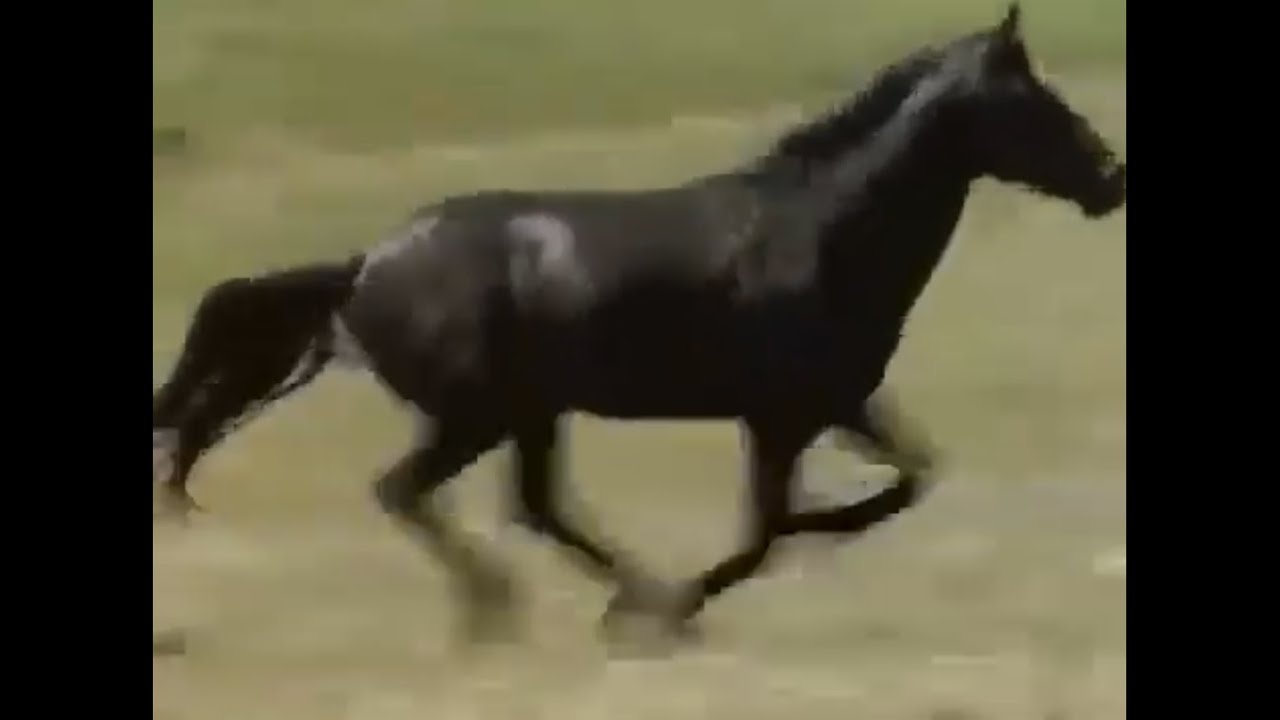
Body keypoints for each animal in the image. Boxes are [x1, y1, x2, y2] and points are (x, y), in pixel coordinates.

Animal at [152, 3, 1125, 644]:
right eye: (1032, 100)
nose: (1111, 179)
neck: (821, 232)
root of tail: (364, 267)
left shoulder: (839, 402)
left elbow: (908, 480)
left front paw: (694, 594)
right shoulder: (779, 417)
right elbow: (770, 528)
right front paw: (691, 600)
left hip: (529, 415)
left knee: (532, 507)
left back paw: (611, 598)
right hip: (477, 416)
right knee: (407, 492)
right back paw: (516, 610)